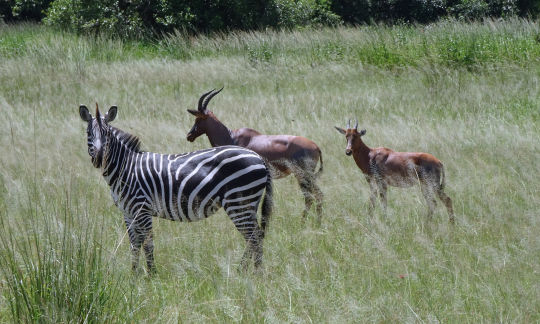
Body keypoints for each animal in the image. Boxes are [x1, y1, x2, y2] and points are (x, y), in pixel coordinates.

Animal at [79, 104, 274, 274]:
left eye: (106, 134)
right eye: (88, 133)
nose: (98, 158)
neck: (126, 168)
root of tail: (258, 157)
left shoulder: (142, 209)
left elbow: (148, 243)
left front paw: (151, 275)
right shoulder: (127, 212)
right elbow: (134, 244)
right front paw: (133, 275)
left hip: (238, 201)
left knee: (254, 237)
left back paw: (254, 274)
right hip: (248, 204)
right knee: (255, 236)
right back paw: (245, 271)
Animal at [186, 88, 322, 223]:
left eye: (198, 119)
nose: (189, 136)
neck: (232, 137)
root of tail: (316, 146)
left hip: (303, 174)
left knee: (313, 195)